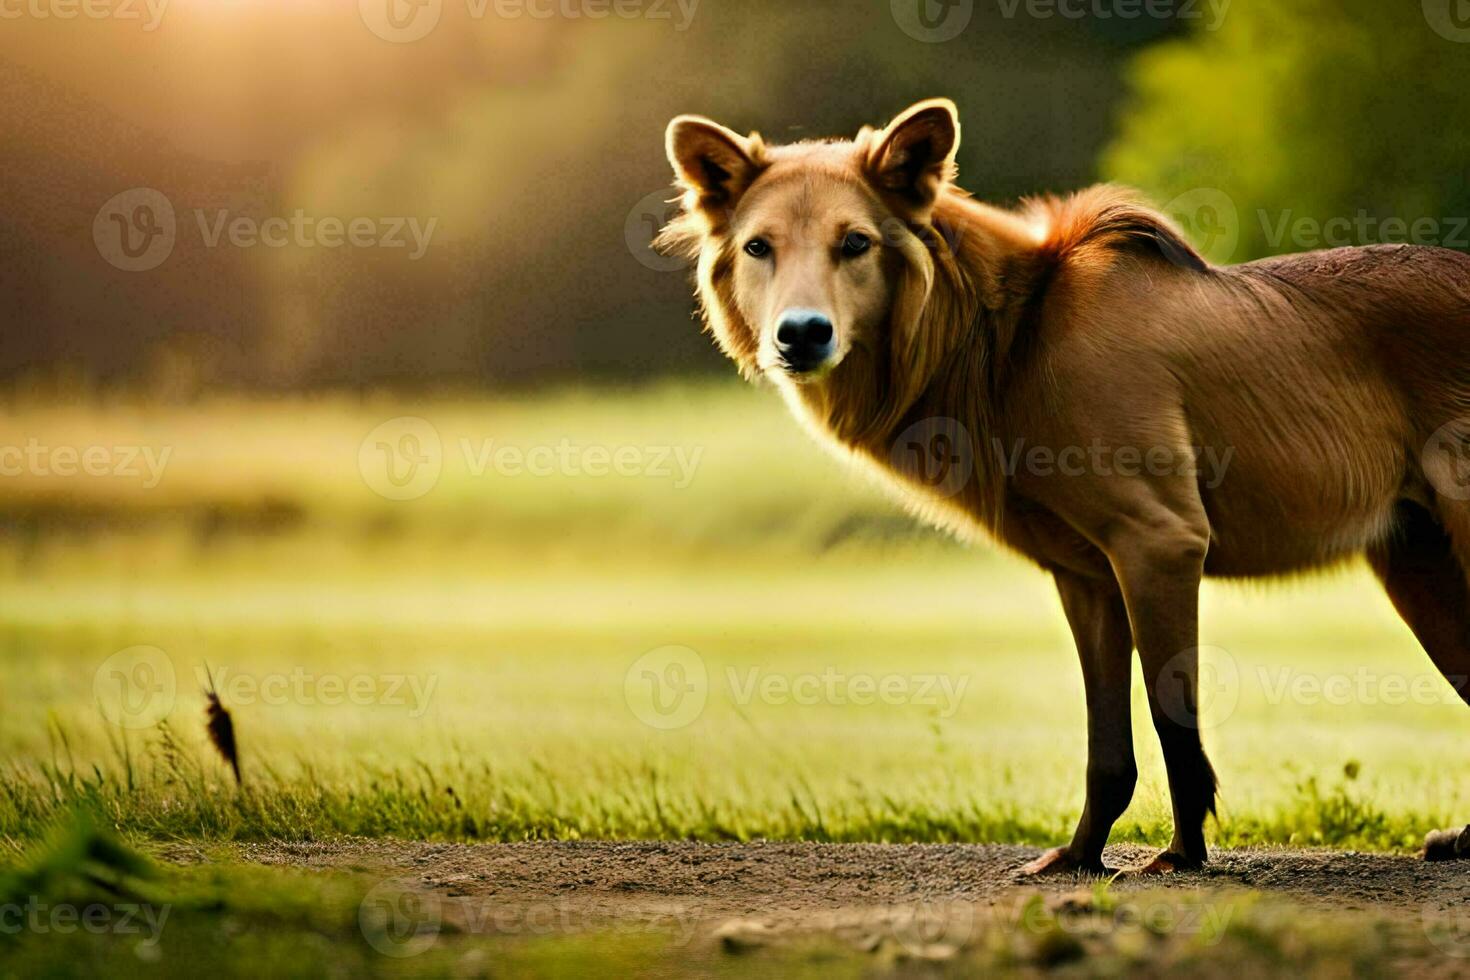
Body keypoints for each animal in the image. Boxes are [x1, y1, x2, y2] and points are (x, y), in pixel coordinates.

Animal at [661, 99, 1470, 875]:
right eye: (759, 247)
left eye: (854, 243)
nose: (802, 334)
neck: (1006, 347)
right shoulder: (1086, 573)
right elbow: (1107, 751)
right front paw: (1081, 858)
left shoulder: (1161, 541)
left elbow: (1174, 726)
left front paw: (1182, 857)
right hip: (1417, 566)